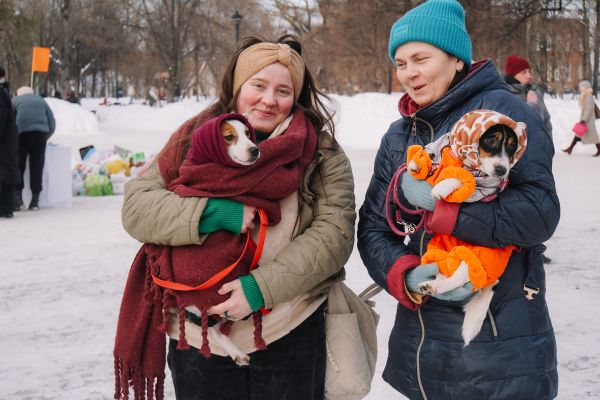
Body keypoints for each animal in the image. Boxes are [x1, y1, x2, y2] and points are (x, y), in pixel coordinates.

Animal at [406, 108, 528, 344]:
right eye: (491, 139)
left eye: (511, 146)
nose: (502, 170)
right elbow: (430, 159)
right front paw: (417, 163)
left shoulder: (484, 189)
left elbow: (466, 179)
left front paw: (443, 186)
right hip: (440, 252)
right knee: (444, 272)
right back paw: (429, 284)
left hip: (473, 259)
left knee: (456, 280)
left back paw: (436, 287)